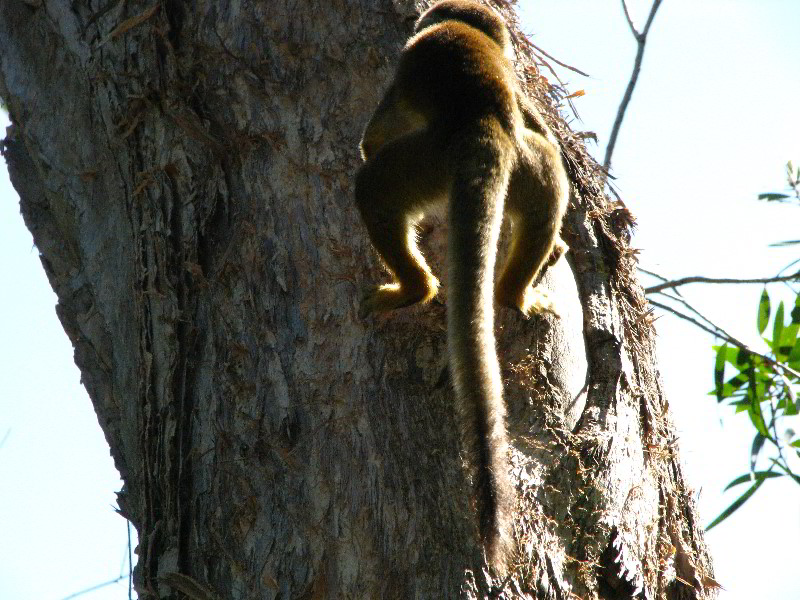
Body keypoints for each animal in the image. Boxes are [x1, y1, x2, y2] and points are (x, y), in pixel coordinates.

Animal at [352, 0, 568, 572]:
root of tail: (483, 129)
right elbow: (537, 119)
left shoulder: (401, 72)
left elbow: (374, 138)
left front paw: (366, 146)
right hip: (524, 162)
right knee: (549, 166)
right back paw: (516, 290)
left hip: (428, 160)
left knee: (373, 188)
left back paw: (414, 288)